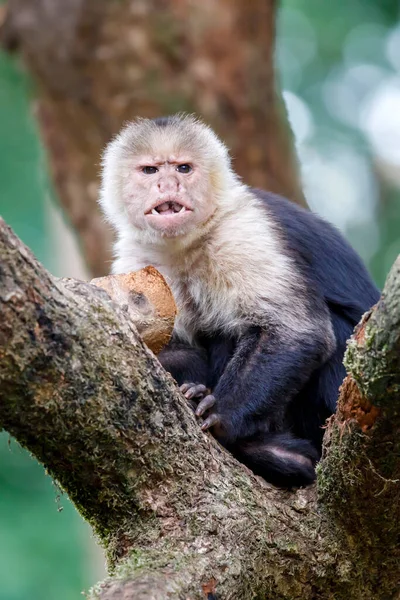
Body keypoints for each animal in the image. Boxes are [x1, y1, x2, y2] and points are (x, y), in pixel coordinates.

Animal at [98, 112, 380, 488]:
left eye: (183, 168)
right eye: (150, 170)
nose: (169, 184)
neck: (186, 244)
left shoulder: (241, 232)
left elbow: (295, 331)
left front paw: (221, 416)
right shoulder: (135, 262)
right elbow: (172, 349)